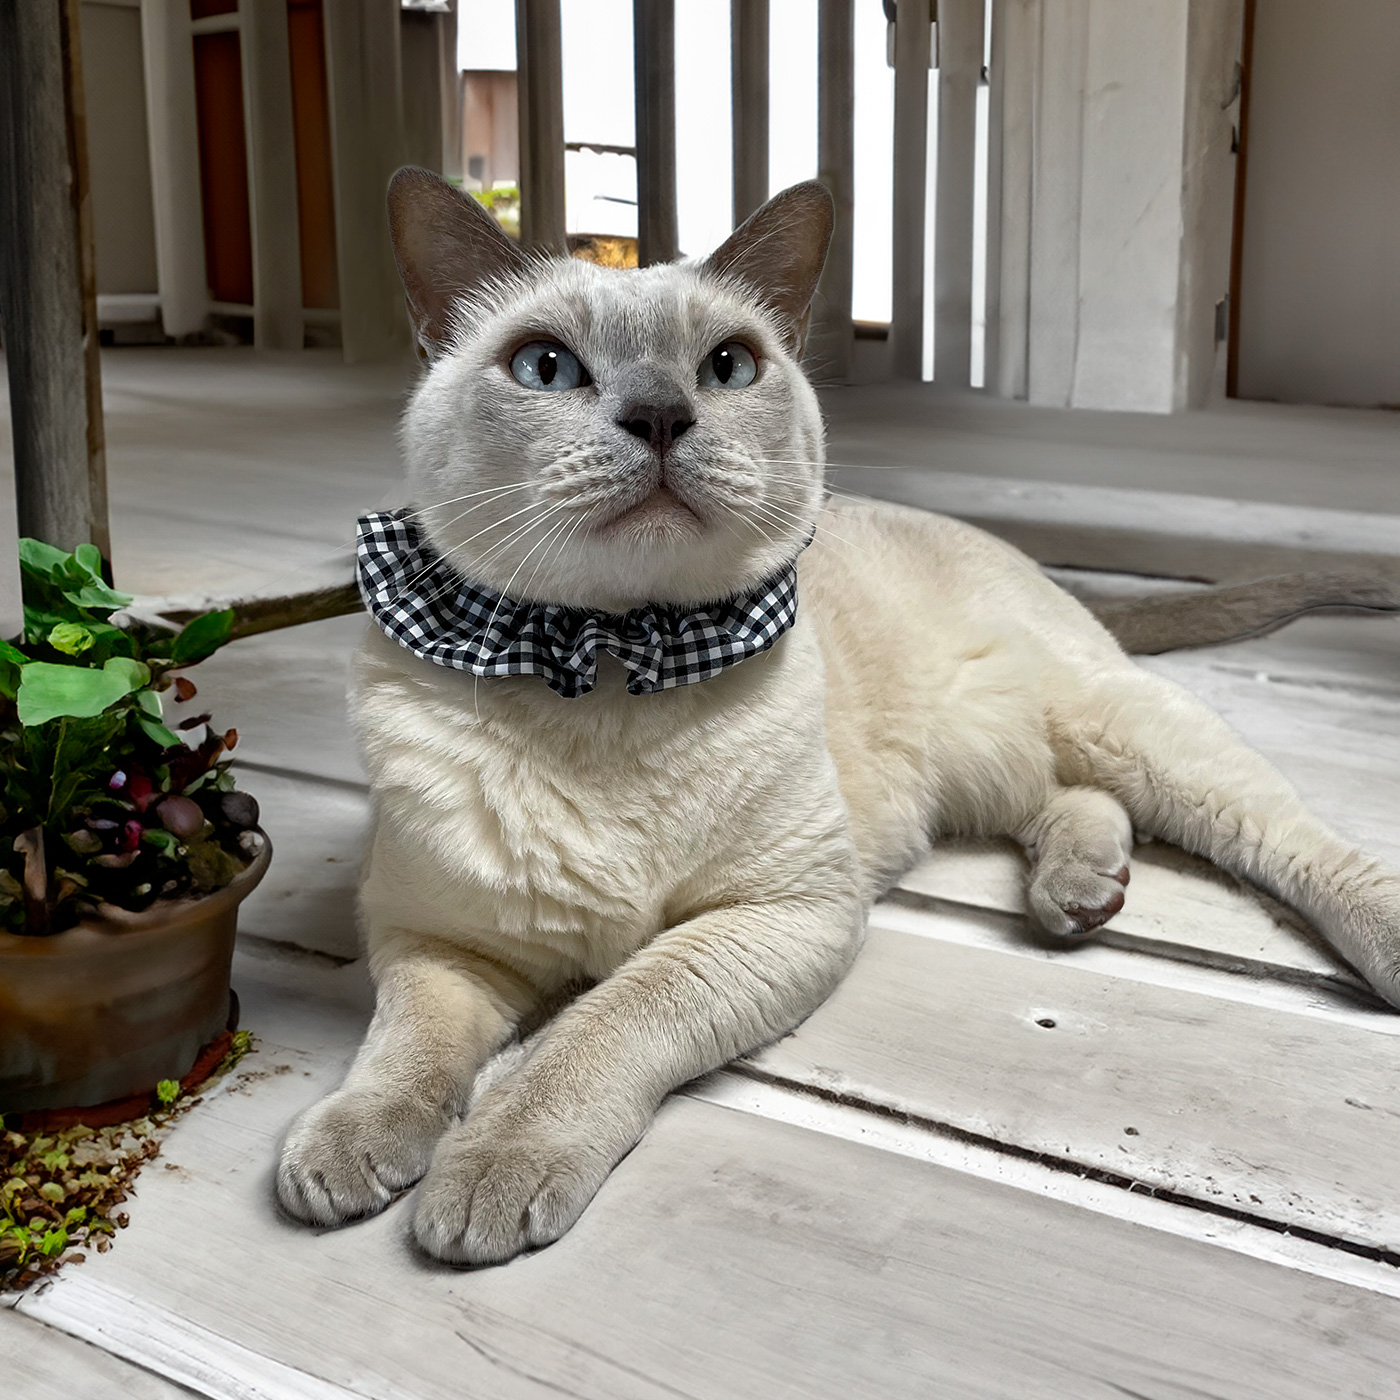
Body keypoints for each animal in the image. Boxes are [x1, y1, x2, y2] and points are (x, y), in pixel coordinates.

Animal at [276, 170, 1400, 1266]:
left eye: (727, 366)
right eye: (545, 368)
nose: (659, 415)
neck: (607, 666)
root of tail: (1018, 554)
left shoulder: (778, 916)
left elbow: (600, 1023)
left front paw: (489, 1170)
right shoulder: (439, 940)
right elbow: (408, 1048)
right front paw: (347, 1148)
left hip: (1123, 729)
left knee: (1288, 839)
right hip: (989, 774)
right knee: (1072, 803)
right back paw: (1078, 895)